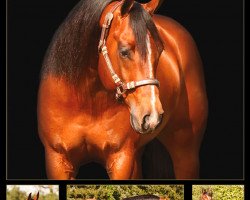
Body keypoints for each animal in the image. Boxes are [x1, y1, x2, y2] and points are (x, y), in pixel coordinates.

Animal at [37, 0, 207, 179]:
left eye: (160, 50)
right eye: (124, 51)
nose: (152, 116)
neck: (87, 103)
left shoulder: (121, 160)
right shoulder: (58, 160)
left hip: (186, 154)